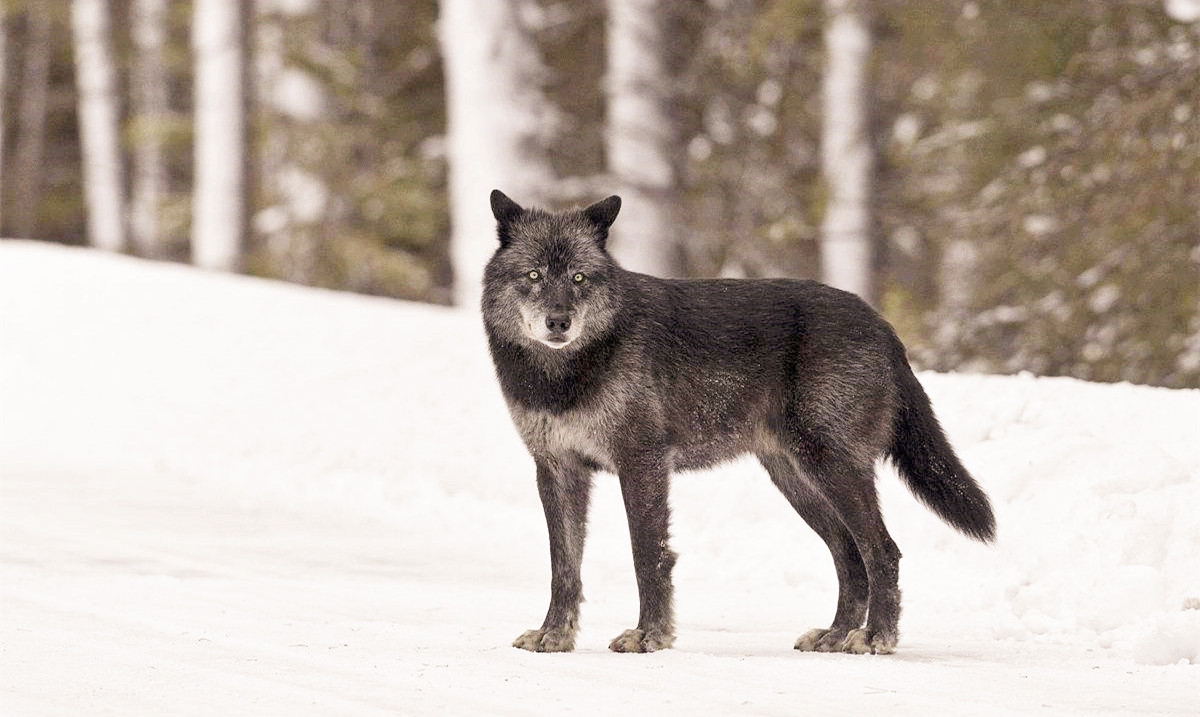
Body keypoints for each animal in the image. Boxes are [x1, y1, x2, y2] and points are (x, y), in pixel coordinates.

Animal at [477, 190, 993, 657]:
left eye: (579, 277)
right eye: (533, 275)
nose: (558, 322)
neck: (563, 375)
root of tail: (884, 326)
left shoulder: (641, 462)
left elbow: (648, 554)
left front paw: (650, 636)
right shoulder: (557, 469)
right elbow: (563, 566)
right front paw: (554, 636)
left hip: (831, 469)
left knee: (881, 551)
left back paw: (875, 639)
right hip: (798, 480)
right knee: (850, 556)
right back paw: (836, 635)